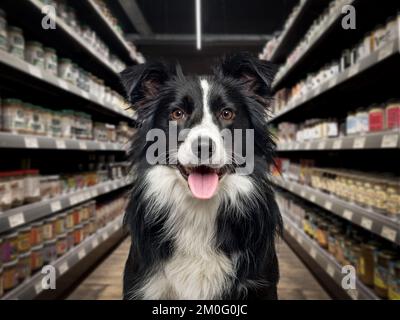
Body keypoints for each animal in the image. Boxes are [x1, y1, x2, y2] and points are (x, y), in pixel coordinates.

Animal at [121, 52, 282, 300]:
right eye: (177, 113)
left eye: (227, 113)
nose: (204, 147)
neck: (199, 207)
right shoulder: (142, 284)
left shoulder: (262, 284)